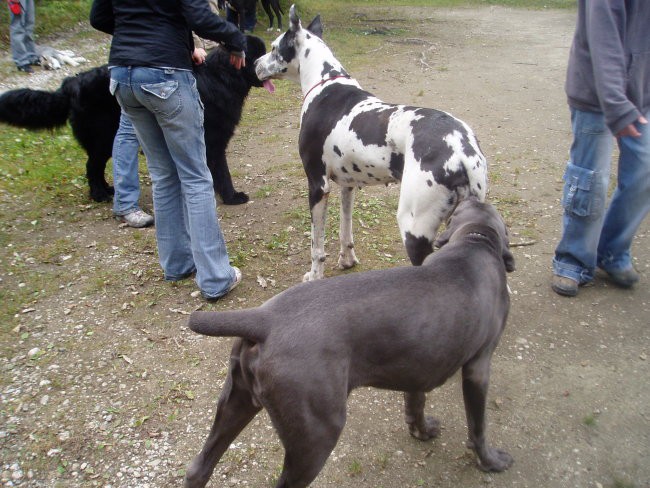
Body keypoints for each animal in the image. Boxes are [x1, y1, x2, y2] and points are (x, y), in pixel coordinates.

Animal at [0, 35, 270, 204]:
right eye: (257, 55)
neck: (222, 77)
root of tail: (71, 83)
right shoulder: (213, 142)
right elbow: (222, 172)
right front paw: (232, 197)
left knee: (95, 167)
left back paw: (107, 190)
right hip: (102, 138)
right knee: (91, 166)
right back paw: (100, 194)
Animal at [253, 5, 486, 280]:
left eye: (274, 48)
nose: (254, 63)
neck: (326, 83)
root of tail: (462, 151)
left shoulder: (318, 186)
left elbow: (316, 244)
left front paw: (315, 275)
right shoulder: (347, 185)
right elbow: (345, 229)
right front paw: (347, 260)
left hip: (413, 228)